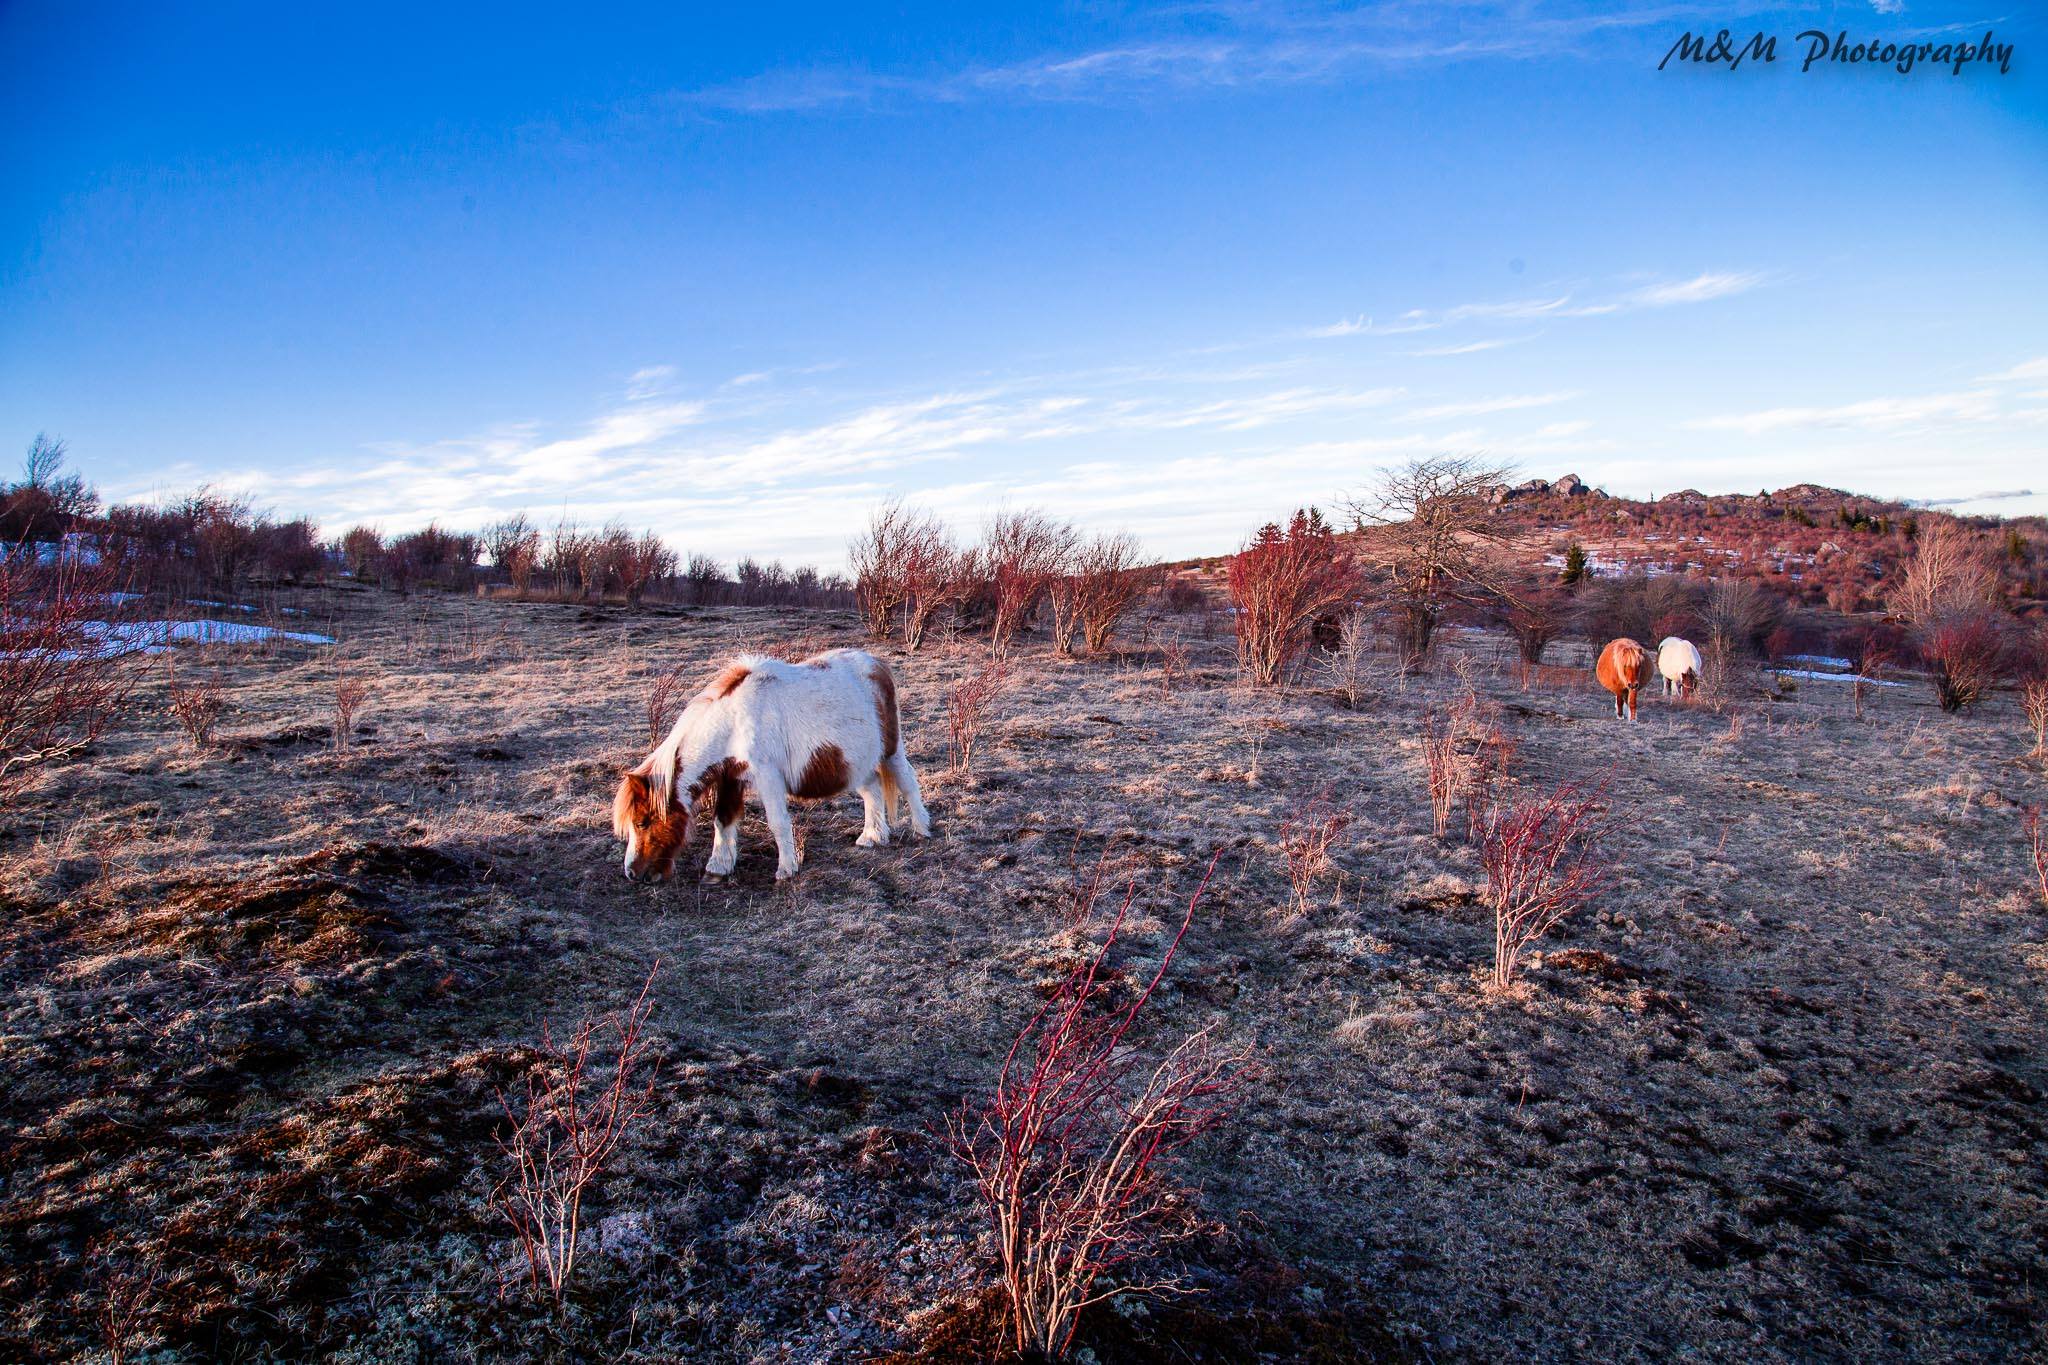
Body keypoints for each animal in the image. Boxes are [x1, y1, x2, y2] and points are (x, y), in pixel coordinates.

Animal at [611, 648, 930, 883]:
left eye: (642, 822)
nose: (631, 873)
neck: (734, 722)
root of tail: (877, 664)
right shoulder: (730, 777)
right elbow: (723, 819)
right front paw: (718, 868)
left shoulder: (767, 777)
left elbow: (777, 822)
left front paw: (786, 870)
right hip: (855, 763)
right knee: (872, 791)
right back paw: (871, 837)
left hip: (890, 751)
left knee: (907, 782)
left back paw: (921, 830)